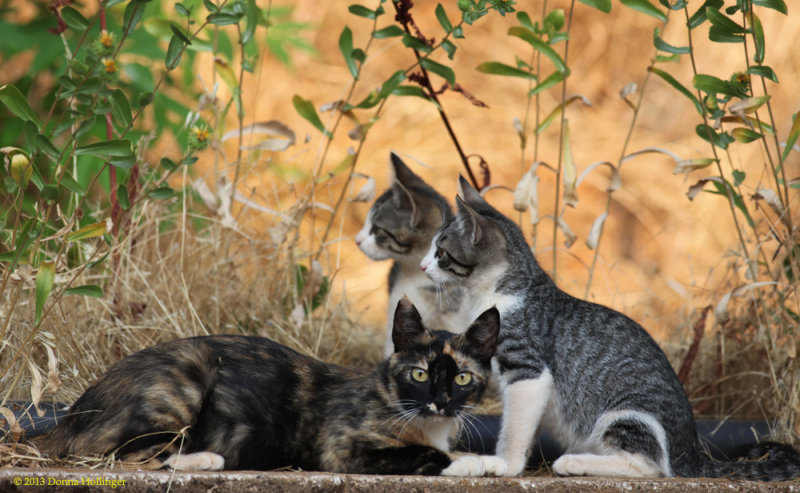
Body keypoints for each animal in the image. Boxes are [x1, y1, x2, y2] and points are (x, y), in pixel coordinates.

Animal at [424, 175, 800, 478]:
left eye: (441, 252)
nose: (423, 265)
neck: (496, 290)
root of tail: (693, 454)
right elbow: (524, 427)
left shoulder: (528, 370)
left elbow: (515, 429)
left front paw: (501, 464)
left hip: (625, 415)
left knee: (652, 467)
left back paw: (575, 462)